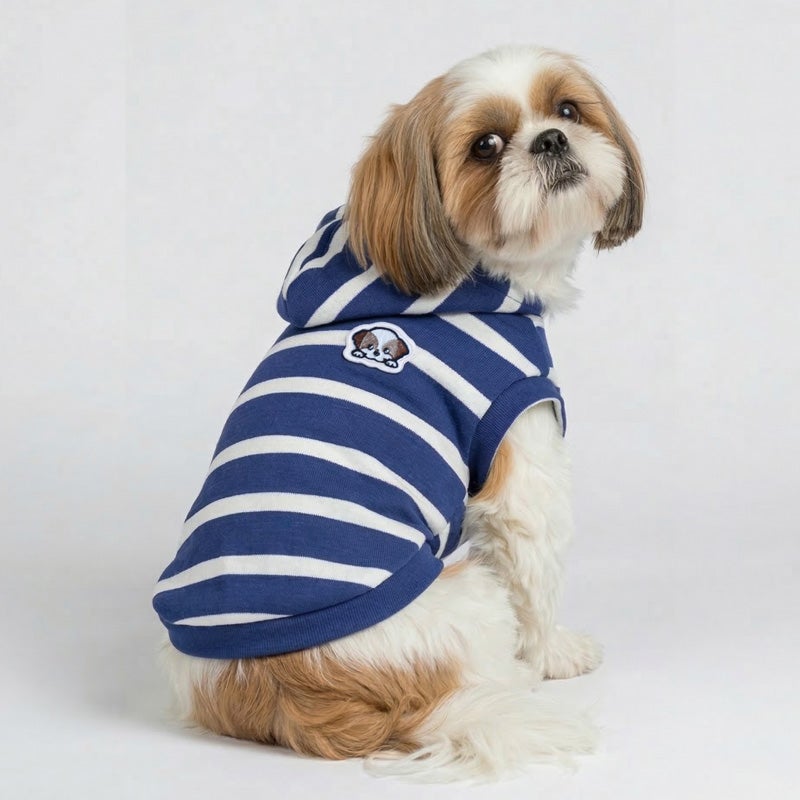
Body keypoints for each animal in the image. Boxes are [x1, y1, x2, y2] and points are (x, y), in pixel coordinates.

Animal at [153, 44, 644, 781]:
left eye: (566, 109)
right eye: (485, 146)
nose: (552, 139)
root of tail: (284, 690)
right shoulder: (522, 454)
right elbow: (536, 574)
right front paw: (555, 653)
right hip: (463, 601)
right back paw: (511, 685)